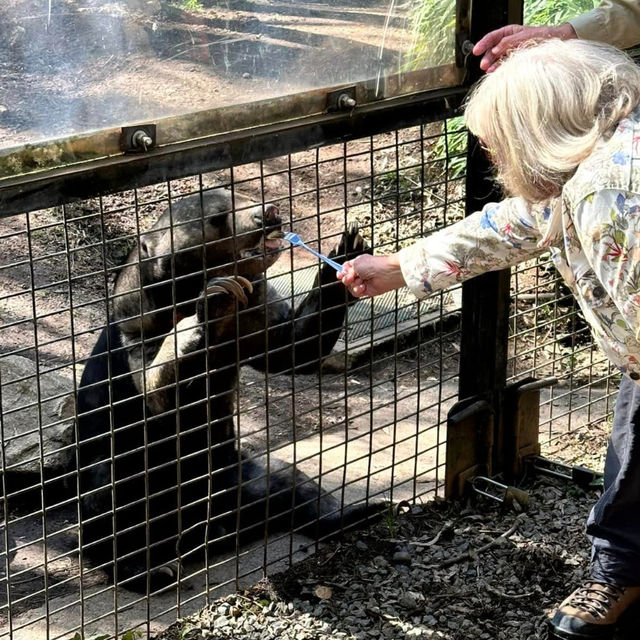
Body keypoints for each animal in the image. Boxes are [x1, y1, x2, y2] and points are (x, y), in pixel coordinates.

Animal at [75, 188, 378, 592]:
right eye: (218, 218)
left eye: (243, 194)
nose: (269, 212)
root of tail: (200, 533)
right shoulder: (135, 333)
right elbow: (158, 393)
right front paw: (213, 301)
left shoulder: (254, 316)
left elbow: (292, 347)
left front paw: (345, 255)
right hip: (134, 474)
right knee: (111, 503)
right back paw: (151, 570)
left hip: (233, 473)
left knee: (290, 484)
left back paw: (361, 511)